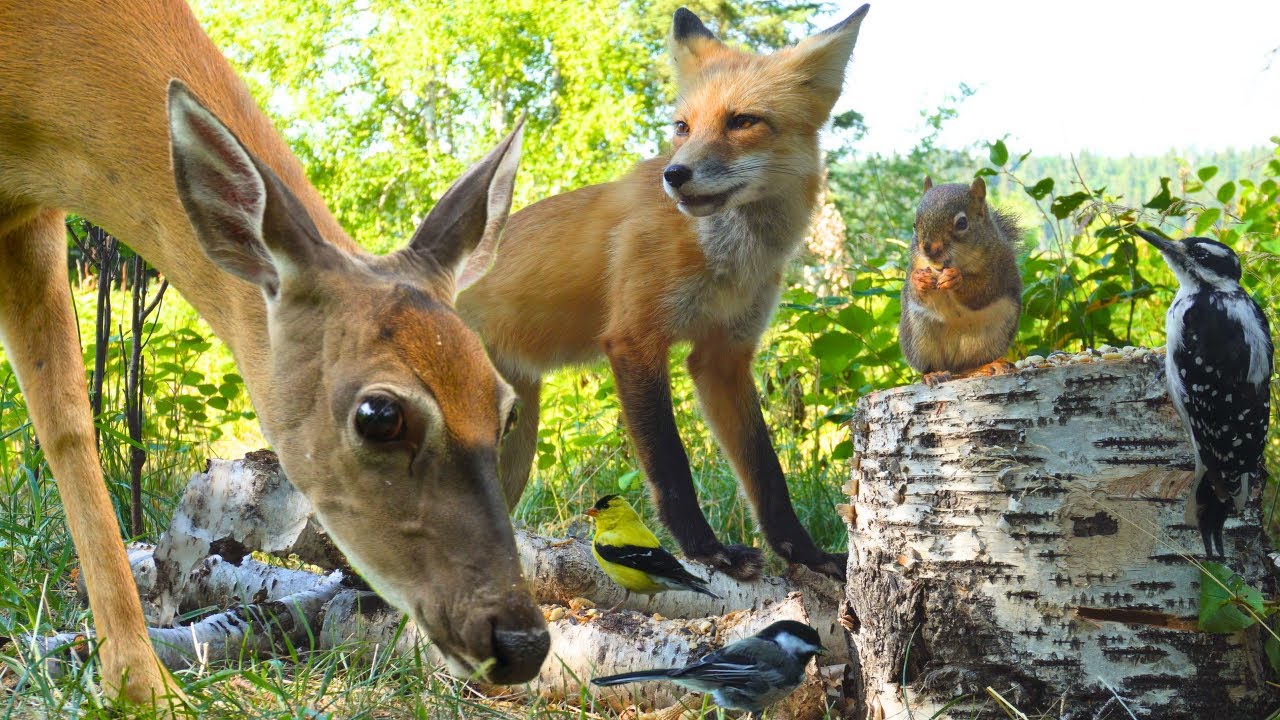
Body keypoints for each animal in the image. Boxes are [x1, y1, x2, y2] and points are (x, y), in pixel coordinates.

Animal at [0, 0, 549, 712]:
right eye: (379, 414)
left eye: (505, 408)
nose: (522, 641)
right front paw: (142, 682)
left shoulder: (25, 213)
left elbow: (65, 422)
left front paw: (140, 683)